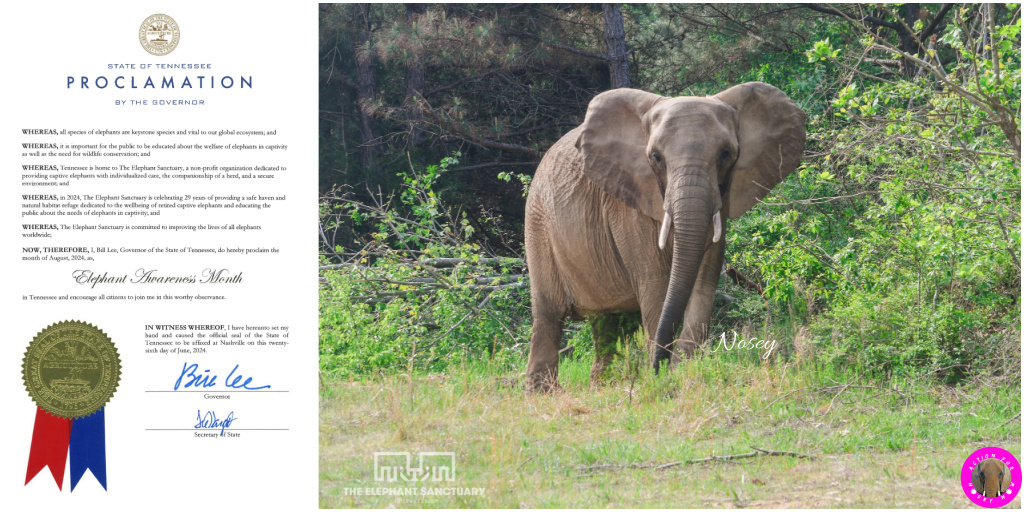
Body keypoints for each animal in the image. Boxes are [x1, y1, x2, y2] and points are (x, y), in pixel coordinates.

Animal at [523, 82, 805, 391]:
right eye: (656, 157)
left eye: (726, 154)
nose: (657, 366)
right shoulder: (629, 202)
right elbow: (657, 284)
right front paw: (665, 376)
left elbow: (703, 282)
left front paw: (683, 371)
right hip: (537, 222)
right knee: (548, 314)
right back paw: (543, 393)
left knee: (605, 321)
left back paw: (602, 386)